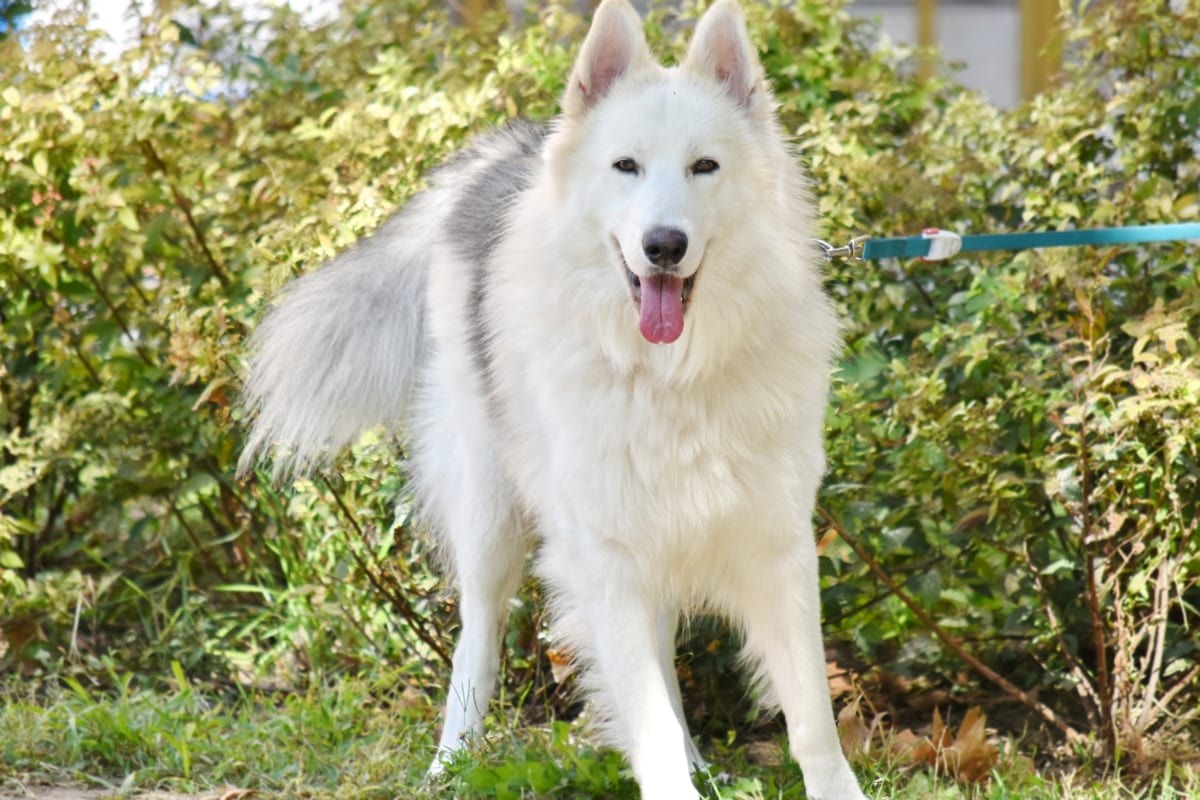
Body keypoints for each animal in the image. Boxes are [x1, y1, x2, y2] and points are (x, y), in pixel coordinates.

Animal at [241, 1, 864, 796]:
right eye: (626, 167)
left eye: (705, 167)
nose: (664, 246)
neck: (669, 375)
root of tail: (500, 156)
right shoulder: (604, 555)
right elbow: (647, 722)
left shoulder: (775, 547)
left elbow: (811, 720)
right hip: (490, 514)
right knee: (478, 638)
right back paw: (452, 761)